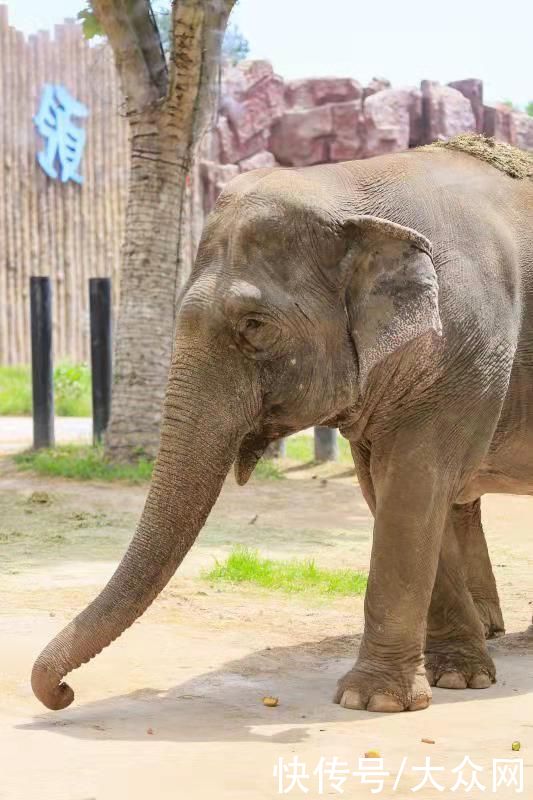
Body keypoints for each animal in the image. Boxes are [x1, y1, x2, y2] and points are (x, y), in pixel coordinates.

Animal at [32, 133, 532, 712]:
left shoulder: (470, 345)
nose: (63, 692)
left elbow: (414, 486)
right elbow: (390, 488)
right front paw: (456, 678)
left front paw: (371, 702)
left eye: (254, 326)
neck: (348, 186)